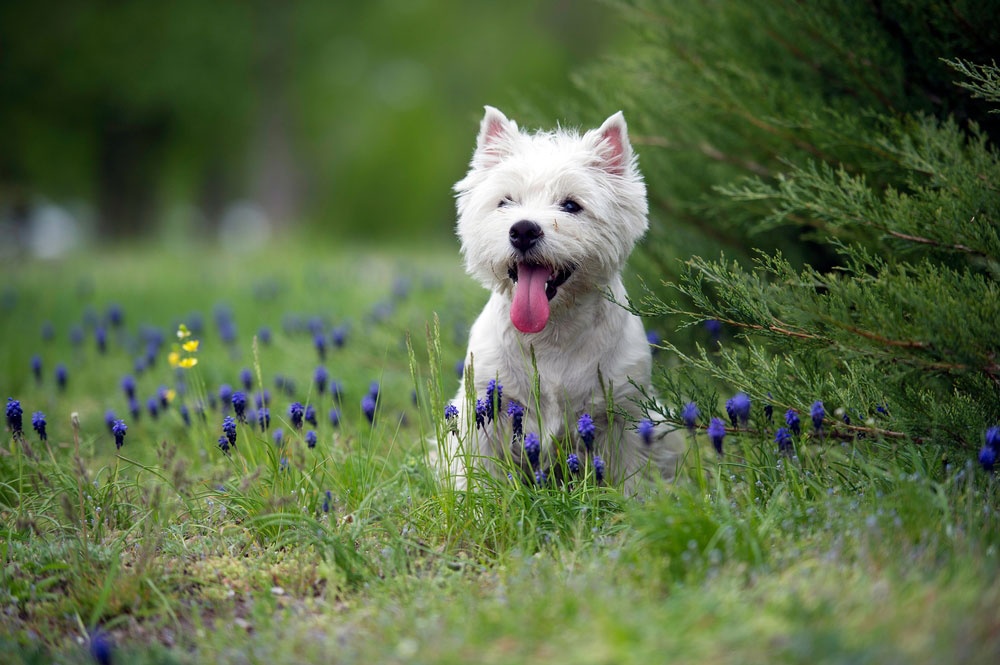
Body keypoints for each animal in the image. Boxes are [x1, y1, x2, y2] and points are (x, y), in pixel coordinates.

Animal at [446, 106, 680, 492]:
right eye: (505, 201)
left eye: (571, 205)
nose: (523, 230)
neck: (552, 333)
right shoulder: (486, 407)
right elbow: (479, 472)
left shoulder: (625, 413)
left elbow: (632, 475)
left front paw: (633, 503)